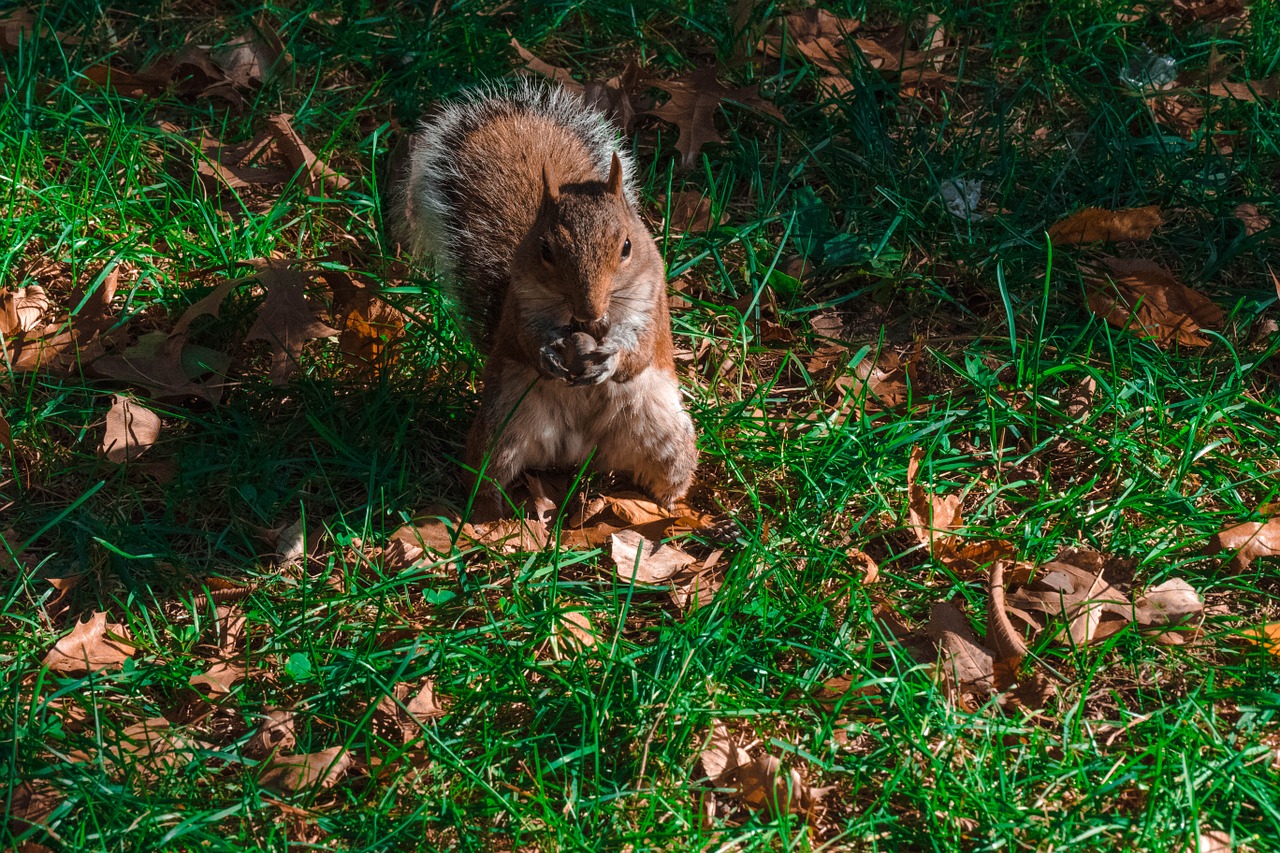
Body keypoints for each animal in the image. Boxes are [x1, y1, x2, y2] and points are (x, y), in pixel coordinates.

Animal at [396, 81, 701, 504]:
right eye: (545, 250)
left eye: (627, 246)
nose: (589, 311)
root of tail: (581, 453)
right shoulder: (521, 304)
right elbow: (526, 340)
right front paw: (548, 355)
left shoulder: (650, 304)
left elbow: (638, 352)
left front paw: (611, 360)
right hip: (503, 428)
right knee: (486, 477)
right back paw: (486, 514)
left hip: (663, 434)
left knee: (671, 478)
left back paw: (668, 511)